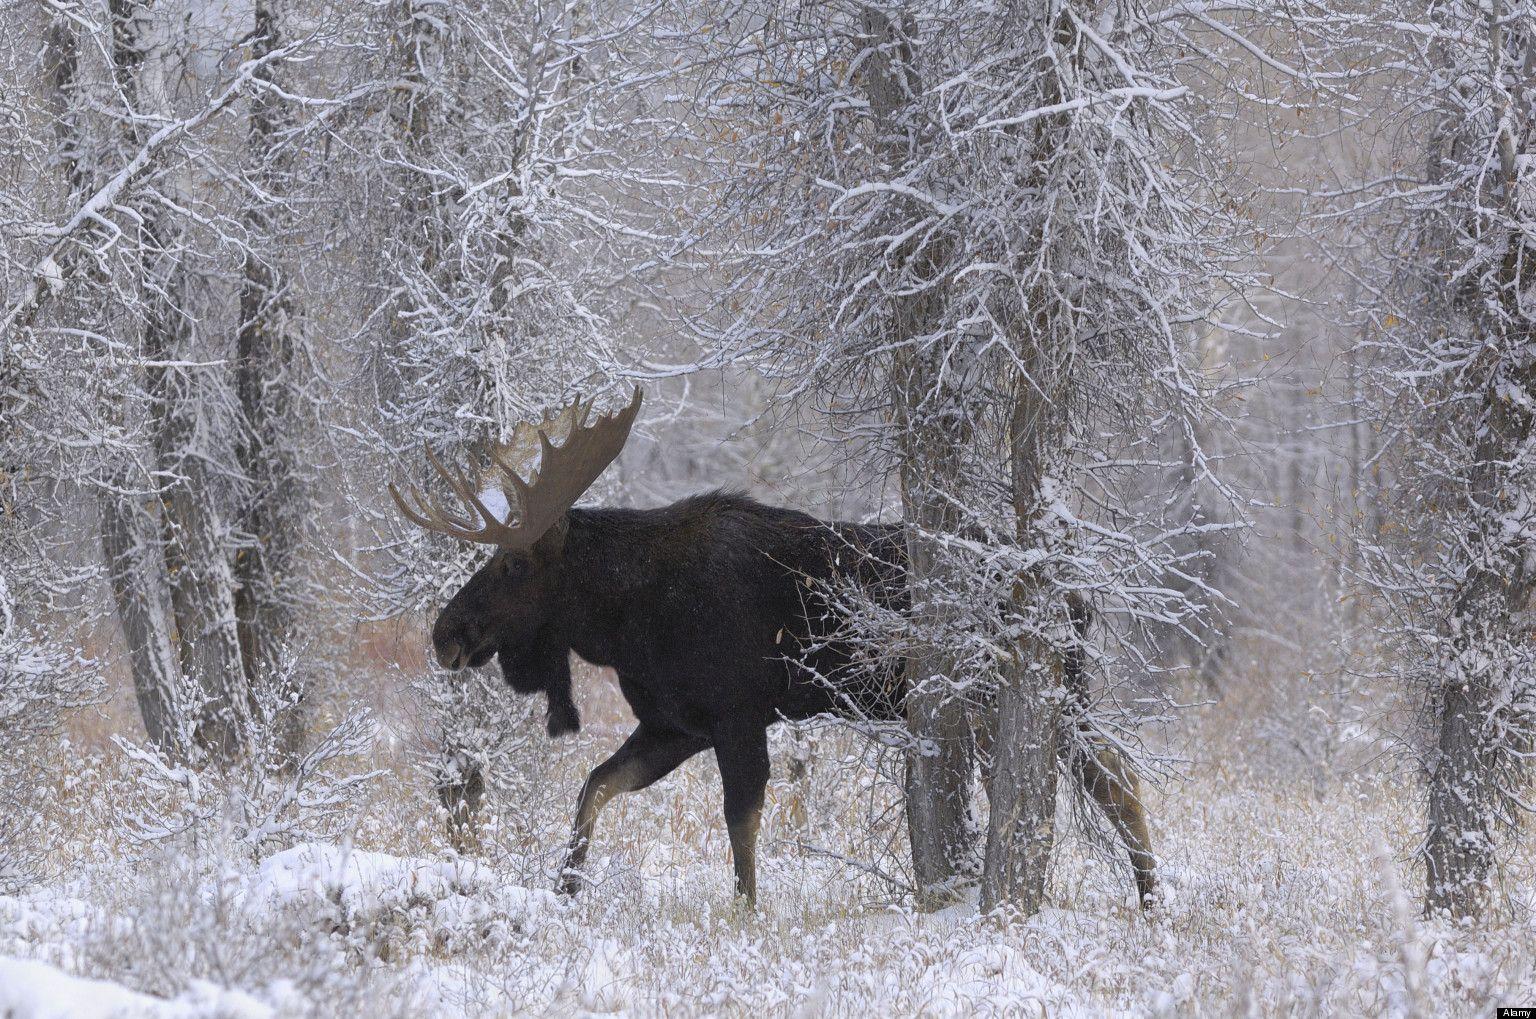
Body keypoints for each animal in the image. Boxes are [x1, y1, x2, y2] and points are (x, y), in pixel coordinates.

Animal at [390, 389, 1155, 907]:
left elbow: (741, 825)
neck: (628, 622)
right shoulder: (676, 723)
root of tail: (1079, 597)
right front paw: (565, 888)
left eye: (513, 565)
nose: (445, 632)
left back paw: (1151, 897)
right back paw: (1150, 898)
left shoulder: (737, 715)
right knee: (1110, 773)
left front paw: (747, 915)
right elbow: (595, 786)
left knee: (1109, 776)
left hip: (1017, 689)